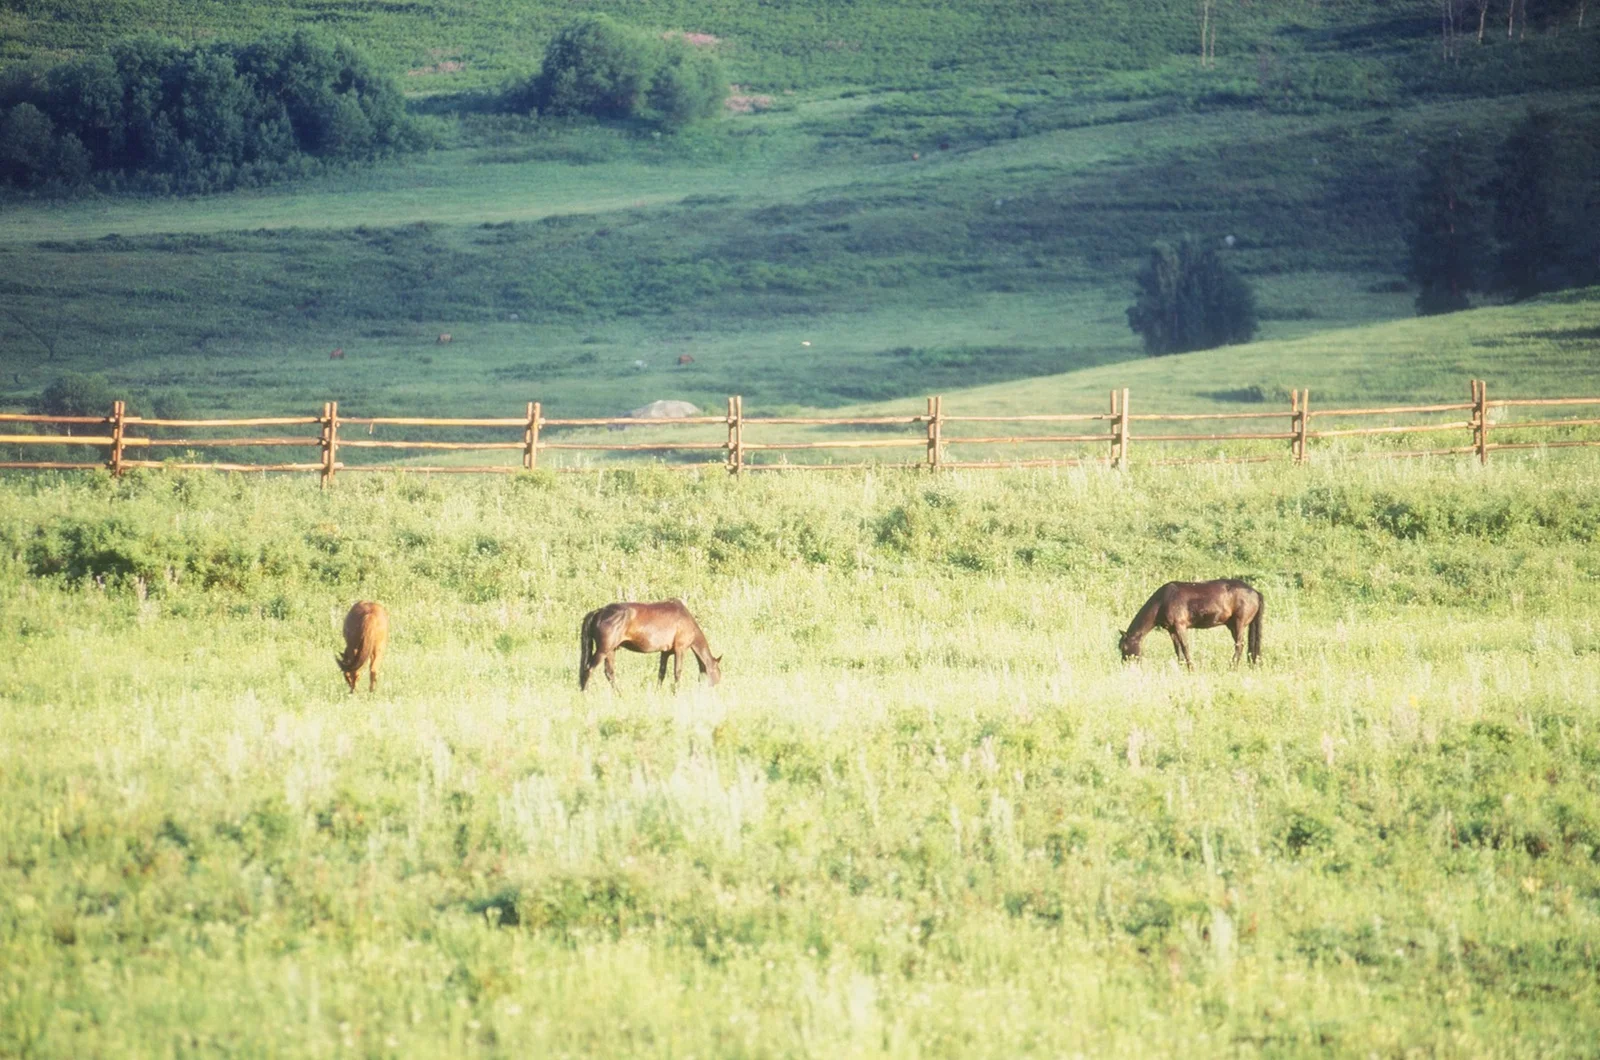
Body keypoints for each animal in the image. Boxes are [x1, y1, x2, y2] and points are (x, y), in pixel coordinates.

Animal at [579, 600, 722, 691]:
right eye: (718, 673)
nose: (716, 690)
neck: (687, 621)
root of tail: (598, 612)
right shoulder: (680, 649)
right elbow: (677, 672)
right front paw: (676, 693)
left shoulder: (665, 652)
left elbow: (661, 673)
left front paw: (657, 692)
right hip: (603, 650)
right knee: (589, 670)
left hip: (611, 650)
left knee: (609, 673)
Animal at [1119, 580, 1262, 669]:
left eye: (1124, 647)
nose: (1126, 666)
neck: (1163, 600)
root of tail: (1255, 592)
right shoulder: (1172, 630)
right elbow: (1177, 649)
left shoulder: (1180, 626)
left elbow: (1185, 647)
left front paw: (1191, 668)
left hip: (1238, 624)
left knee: (1239, 645)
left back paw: (1232, 667)